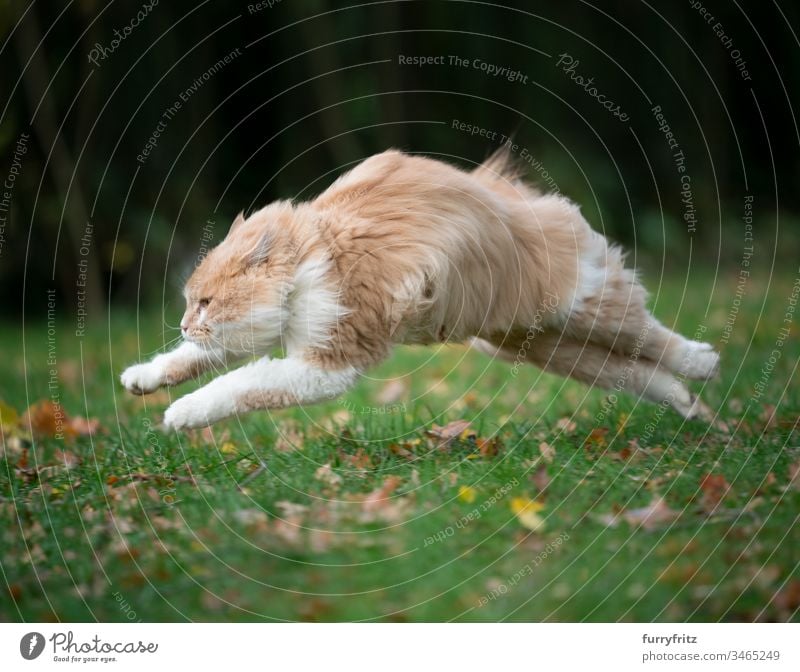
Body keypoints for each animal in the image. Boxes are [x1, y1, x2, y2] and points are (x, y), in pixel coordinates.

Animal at [122, 150, 720, 428]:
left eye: (205, 302)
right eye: (189, 305)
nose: (183, 323)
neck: (313, 259)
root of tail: (509, 199)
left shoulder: (329, 365)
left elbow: (240, 386)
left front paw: (180, 416)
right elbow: (190, 361)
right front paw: (140, 379)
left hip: (581, 308)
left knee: (657, 340)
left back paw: (706, 365)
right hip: (528, 344)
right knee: (636, 373)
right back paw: (689, 406)